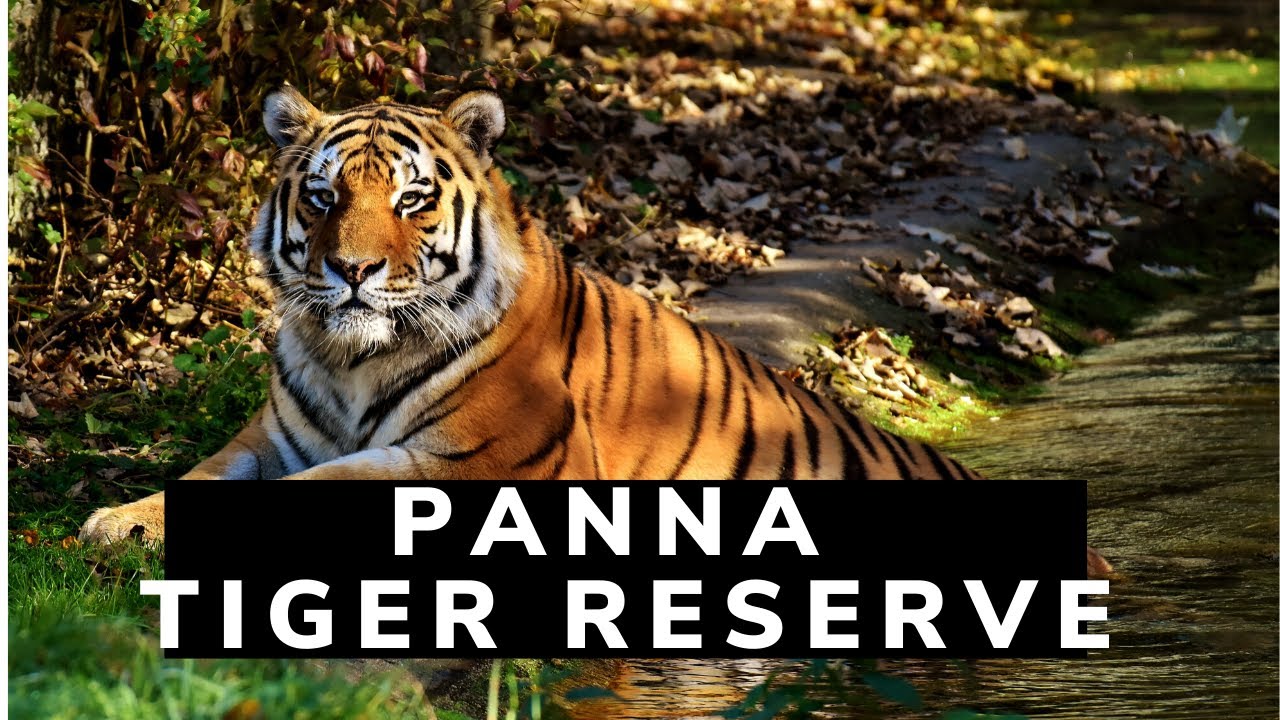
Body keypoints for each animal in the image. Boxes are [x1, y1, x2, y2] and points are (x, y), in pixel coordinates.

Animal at [78, 86, 983, 546]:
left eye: (410, 199)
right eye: (324, 197)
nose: (352, 270)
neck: (351, 361)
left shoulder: (493, 462)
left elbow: (321, 487)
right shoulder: (268, 439)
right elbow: (200, 479)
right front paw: (121, 522)